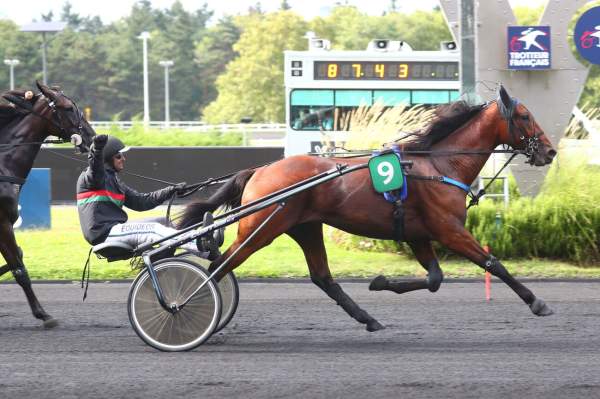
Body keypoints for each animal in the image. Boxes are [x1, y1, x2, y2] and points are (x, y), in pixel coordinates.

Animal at [0, 81, 94, 328]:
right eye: (69, 108)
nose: (92, 137)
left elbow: (19, 255)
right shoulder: (2, 224)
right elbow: (19, 270)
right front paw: (43, 314)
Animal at [178, 86, 556, 332]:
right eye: (525, 116)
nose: (550, 151)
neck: (439, 165)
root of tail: (260, 170)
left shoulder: (419, 234)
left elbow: (435, 279)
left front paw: (380, 282)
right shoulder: (449, 229)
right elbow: (493, 263)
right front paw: (537, 302)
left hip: (305, 227)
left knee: (322, 277)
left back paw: (369, 319)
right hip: (262, 229)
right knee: (220, 264)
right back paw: (183, 307)